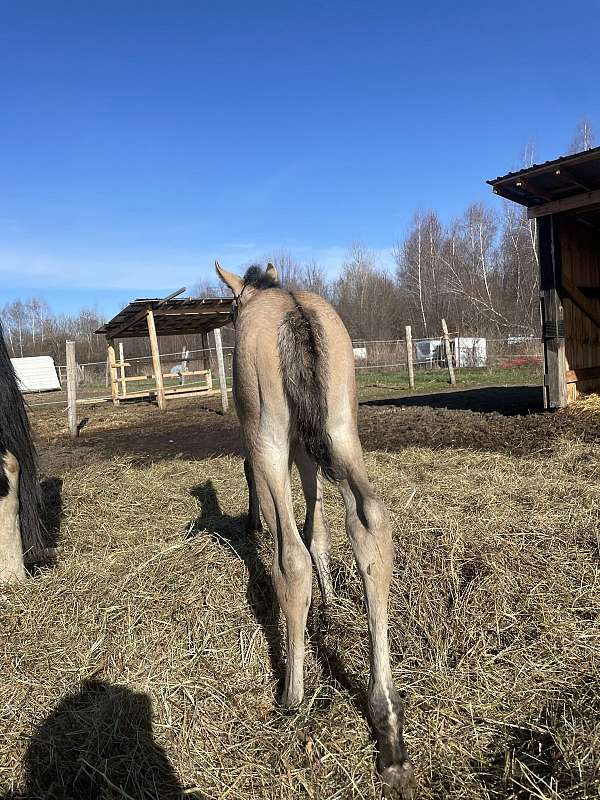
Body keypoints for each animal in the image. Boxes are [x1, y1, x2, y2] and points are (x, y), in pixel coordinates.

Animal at [215, 262, 415, 798]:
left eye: (231, 310)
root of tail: (295, 313)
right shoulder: (310, 441)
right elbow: (317, 517)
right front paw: (329, 593)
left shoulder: (268, 441)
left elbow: (281, 517)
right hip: (343, 426)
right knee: (370, 522)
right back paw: (388, 724)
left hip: (270, 430)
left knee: (291, 558)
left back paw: (292, 693)